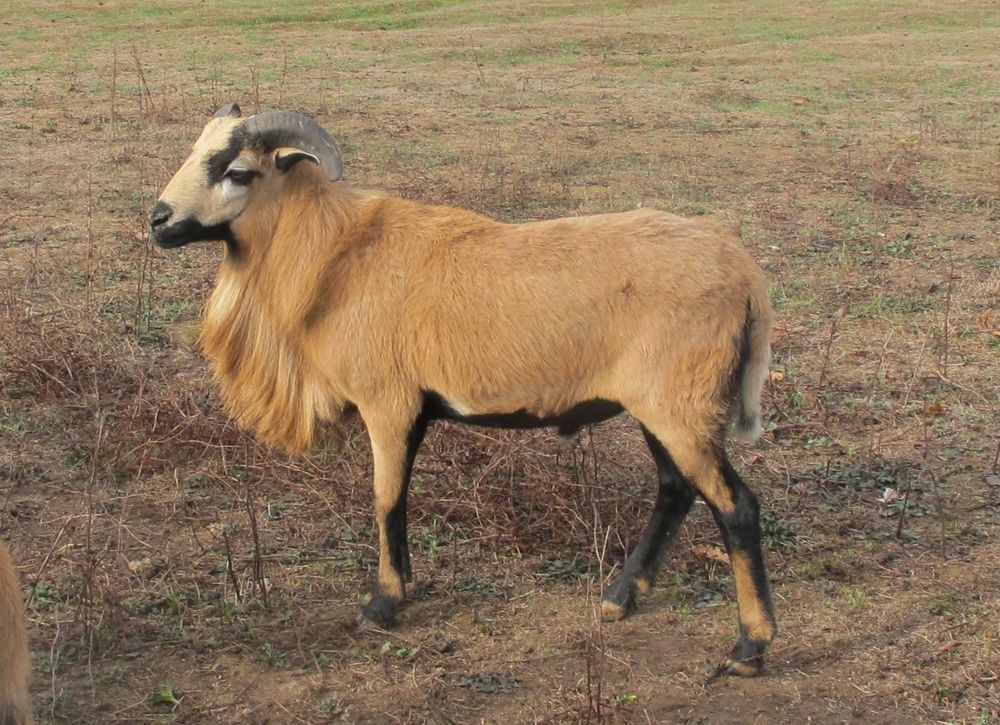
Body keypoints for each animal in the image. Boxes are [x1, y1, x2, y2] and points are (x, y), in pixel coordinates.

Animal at [150, 103, 777, 676]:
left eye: (237, 171)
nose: (158, 219)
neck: (336, 257)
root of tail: (746, 274)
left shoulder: (389, 403)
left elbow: (386, 499)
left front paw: (383, 604)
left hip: (679, 403)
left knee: (736, 507)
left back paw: (749, 648)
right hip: (659, 408)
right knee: (675, 489)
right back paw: (621, 598)